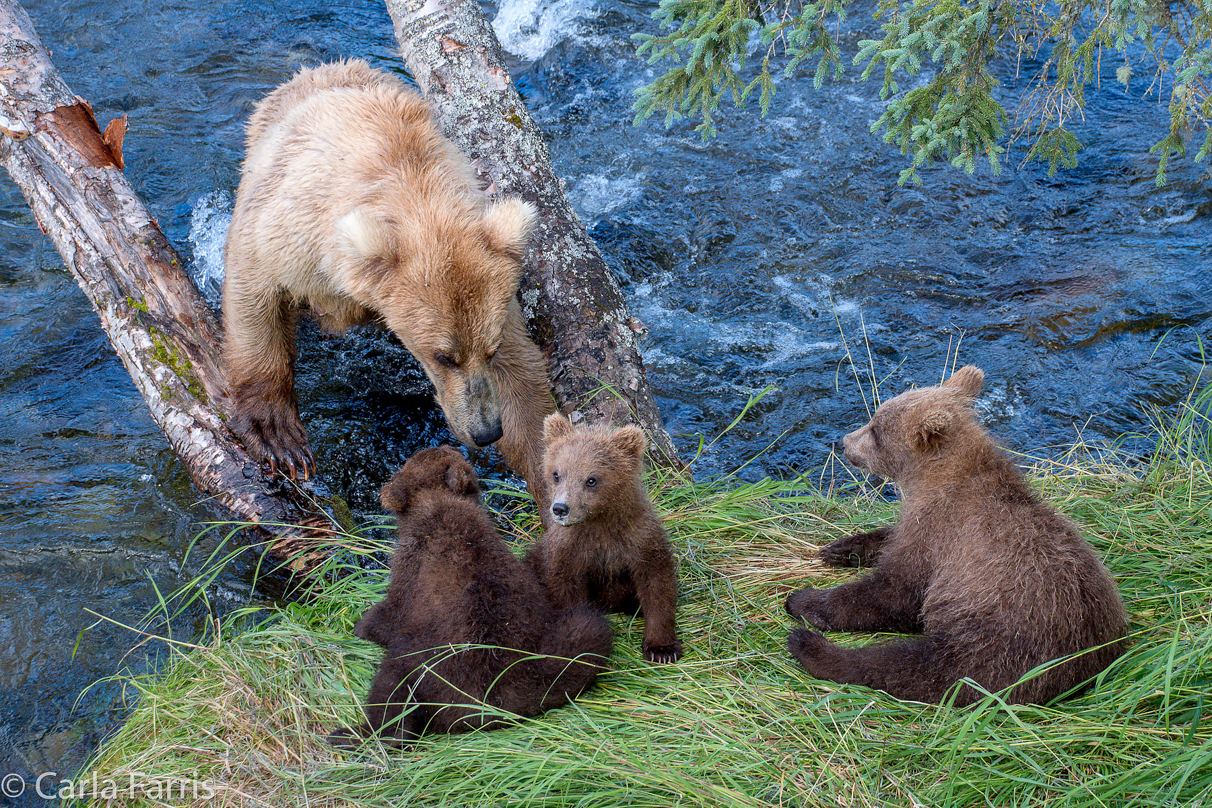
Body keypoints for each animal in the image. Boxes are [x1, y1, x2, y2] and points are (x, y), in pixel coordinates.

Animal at [223, 59, 555, 489]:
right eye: (444, 356)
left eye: (490, 348)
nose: (485, 431)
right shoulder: (290, 230)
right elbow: (254, 288)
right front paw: (279, 438)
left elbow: (522, 378)